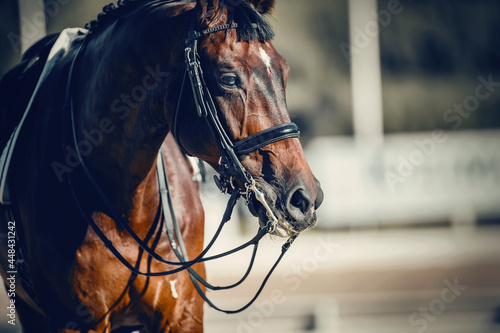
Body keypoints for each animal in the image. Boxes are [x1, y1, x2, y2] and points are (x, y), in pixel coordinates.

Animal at [0, 1, 324, 330]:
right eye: (228, 79)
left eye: (283, 72)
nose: (304, 198)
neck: (126, 212)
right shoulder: (74, 323)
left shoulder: (183, 315)